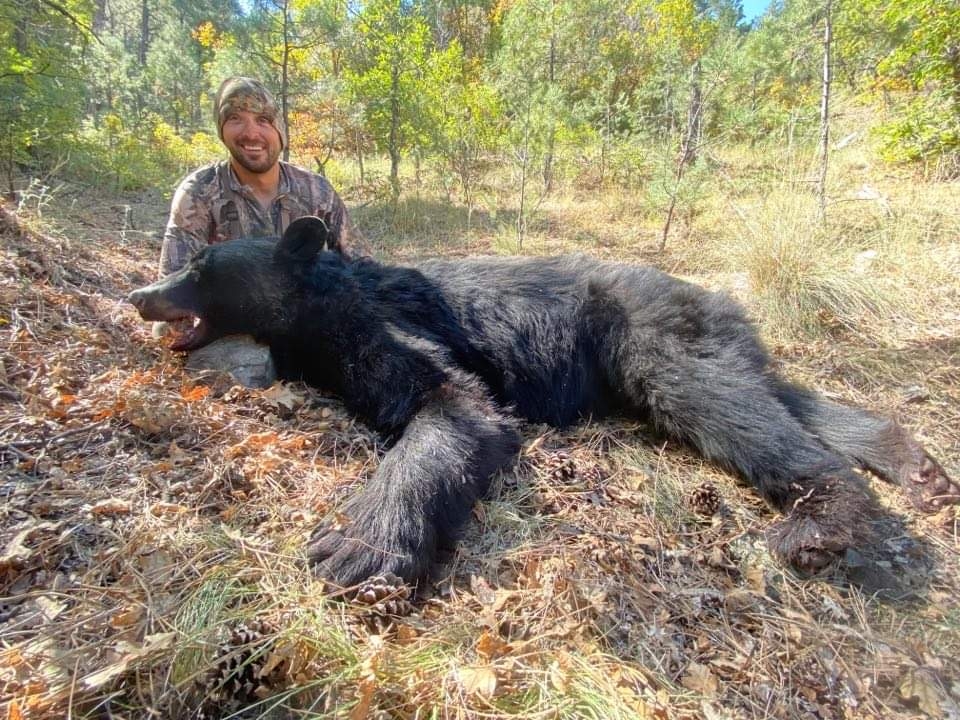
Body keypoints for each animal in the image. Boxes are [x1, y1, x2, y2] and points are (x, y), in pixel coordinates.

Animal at [129, 217, 960, 588]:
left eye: (200, 266)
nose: (140, 292)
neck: (317, 308)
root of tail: (722, 301)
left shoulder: (390, 332)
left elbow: (457, 410)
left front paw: (360, 545)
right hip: (707, 346)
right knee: (777, 395)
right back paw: (917, 467)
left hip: (650, 342)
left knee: (735, 411)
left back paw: (818, 525)